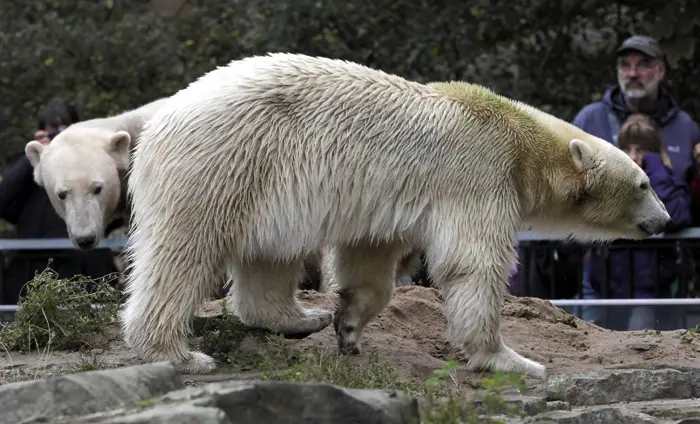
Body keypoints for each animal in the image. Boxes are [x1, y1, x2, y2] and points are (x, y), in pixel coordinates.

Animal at [120, 53, 672, 378]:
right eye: (643, 183)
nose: (665, 220)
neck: (520, 139)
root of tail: (157, 123)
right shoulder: (477, 171)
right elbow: (472, 263)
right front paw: (511, 360)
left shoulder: (386, 200)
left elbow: (369, 259)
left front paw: (347, 325)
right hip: (224, 161)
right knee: (184, 251)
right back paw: (176, 352)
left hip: (264, 183)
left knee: (270, 255)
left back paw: (299, 317)